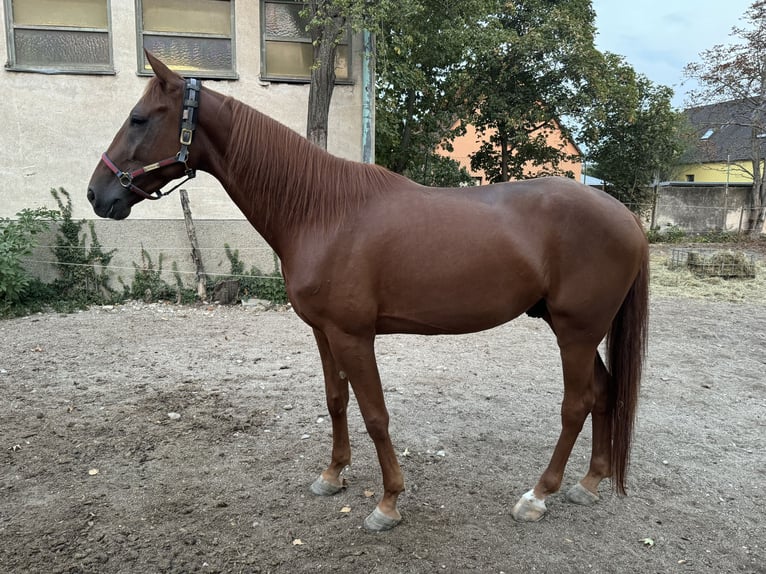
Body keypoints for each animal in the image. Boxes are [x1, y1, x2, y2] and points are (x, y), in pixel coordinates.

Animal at [87, 54, 652, 536]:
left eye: (139, 119)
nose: (97, 194)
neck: (322, 212)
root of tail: (625, 216)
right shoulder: (323, 332)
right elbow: (336, 401)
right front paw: (333, 475)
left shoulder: (354, 336)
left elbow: (375, 415)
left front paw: (388, 502)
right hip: (573, 328)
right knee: (604, 394)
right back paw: (589, 483)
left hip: (576, 331)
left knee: (577, 404)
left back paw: (538, 496)